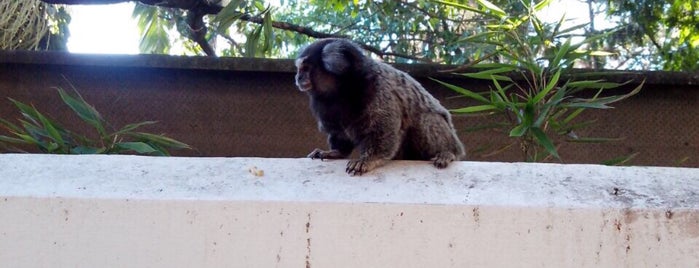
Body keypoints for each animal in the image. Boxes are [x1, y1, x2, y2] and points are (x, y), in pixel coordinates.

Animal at [296, 38, 464, 176]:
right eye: (299, 69)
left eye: (306, 68)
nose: (298, 77)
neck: (341, 90)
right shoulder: (326, 107)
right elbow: (340, 133)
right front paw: (335, 152)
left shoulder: (378, 90)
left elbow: (383, 130)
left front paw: (367, 160)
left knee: (426, 119)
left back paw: (447, 153)